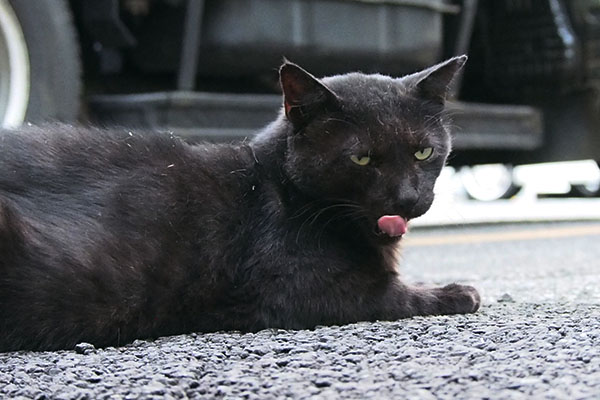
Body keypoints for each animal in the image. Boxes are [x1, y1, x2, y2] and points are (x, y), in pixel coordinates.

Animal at [0, 55, 478, 350]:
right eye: (362, 158)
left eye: (423, 152)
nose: (409, 197)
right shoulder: (300, 289)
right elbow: (393, 295)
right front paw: (456, 292)